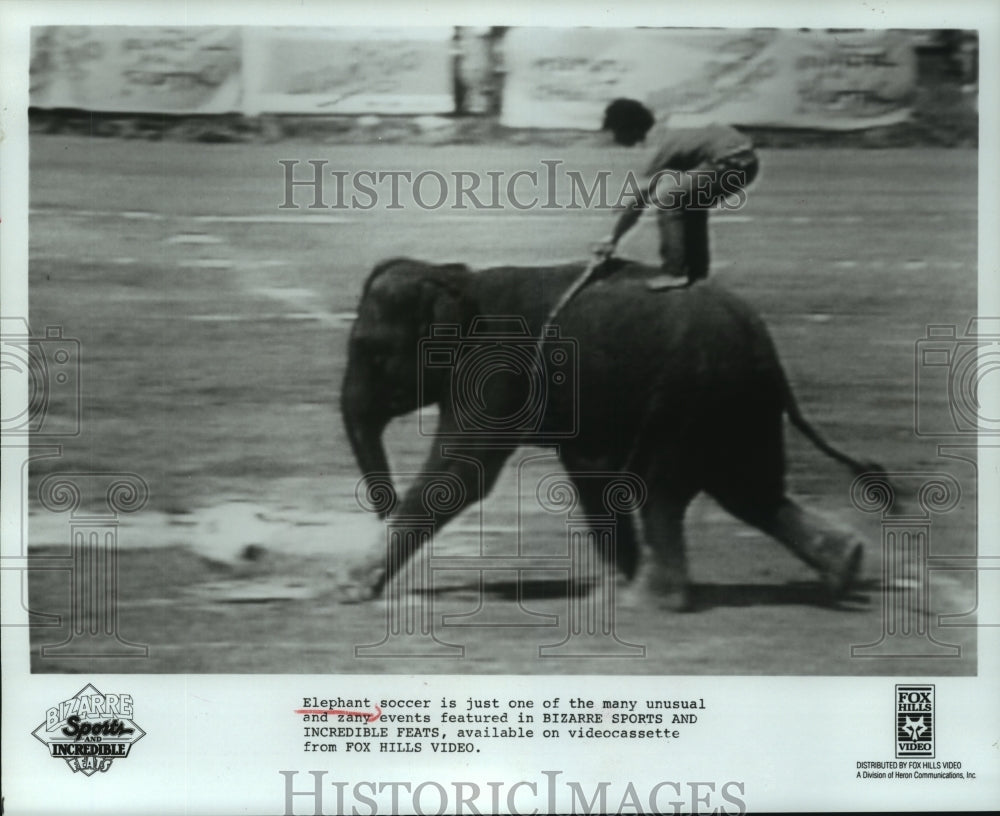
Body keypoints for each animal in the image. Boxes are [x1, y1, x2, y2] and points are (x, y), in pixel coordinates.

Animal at [340, 258, 872, 608]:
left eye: (369, 349)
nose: (384, 506)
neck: (456, 278)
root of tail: (762, 340)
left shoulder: (494, 368)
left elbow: (461, 474)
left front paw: (349, 589)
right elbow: (587, 470)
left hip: (691, 397)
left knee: (667, 490)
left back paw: (647, 600)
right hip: (735, 402)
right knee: (748, 489)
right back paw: (846, 565)